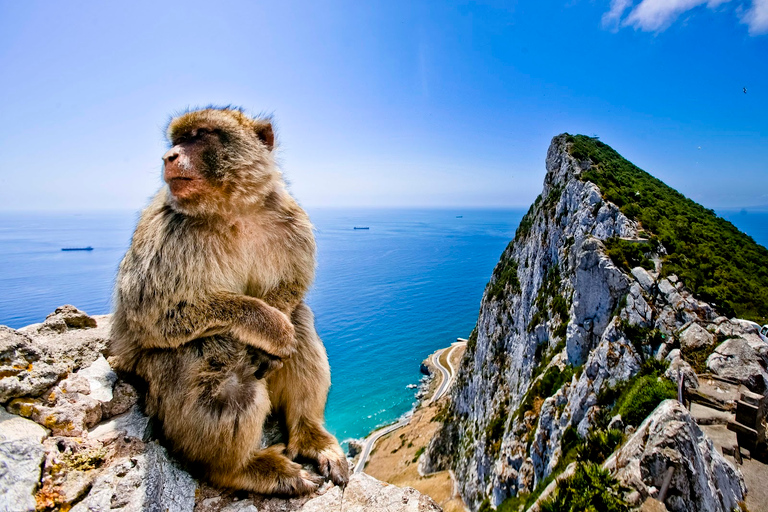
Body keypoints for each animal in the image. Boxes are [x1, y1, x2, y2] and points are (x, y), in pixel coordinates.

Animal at [109, 107, 350, 496]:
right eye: (178, 139)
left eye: (199, 136)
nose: (169, 156)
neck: (232, 209)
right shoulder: (168, 235)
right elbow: (151, 314)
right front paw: (270, 326)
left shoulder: (291, 219)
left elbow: (292, 285)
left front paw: (275, 330)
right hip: (151, 375)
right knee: (219, 365)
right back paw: (238, 469)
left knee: (300, 323)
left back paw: (309, 434)